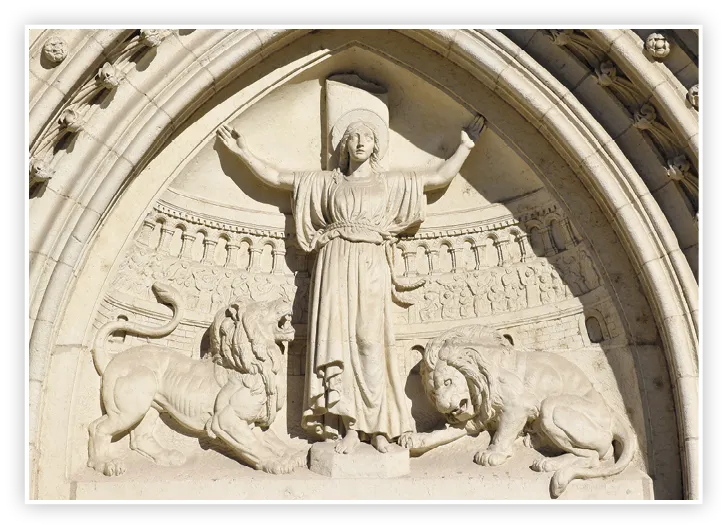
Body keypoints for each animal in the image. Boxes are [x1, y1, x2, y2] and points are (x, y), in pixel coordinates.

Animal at [88, 282, 304, 476]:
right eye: (264, 307)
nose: (286, 299)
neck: (257, 365)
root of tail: (113, 360)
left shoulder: (252, 420)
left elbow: (272, 439)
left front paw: (294, 455)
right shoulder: (225, 419)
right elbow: (254, 445)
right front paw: (275, 462)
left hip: (149, 406)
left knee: (140, 437)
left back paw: (167, 457)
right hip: (130, 406)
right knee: (97, 427)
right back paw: (104, 464)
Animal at [400, 324, 636, 498]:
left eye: (448, 382)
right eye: (433, 391)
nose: (442, 407)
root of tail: (614, 416)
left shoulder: (517, 405)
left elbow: (503, 433)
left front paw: (493, 454)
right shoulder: (474, 418)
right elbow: (441, 433)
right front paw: (414, 439)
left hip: (552, 408)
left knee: (597, 455)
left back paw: (549, 462)